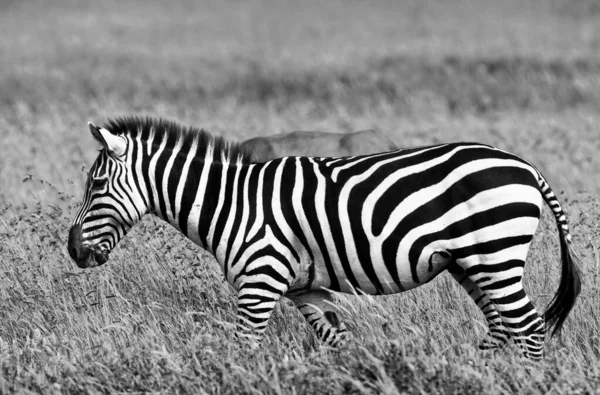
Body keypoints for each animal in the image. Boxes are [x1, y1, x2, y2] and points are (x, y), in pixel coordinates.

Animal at [67, 116, 580, 360]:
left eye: (96, 185)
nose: (72, 250)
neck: (230, 203)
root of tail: (523, 164)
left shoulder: (259, 282)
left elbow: (244, 347)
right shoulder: (305, 289)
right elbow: (340, 344)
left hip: (495, 254)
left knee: (529, 327)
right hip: (472, 263)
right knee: (504, 328)